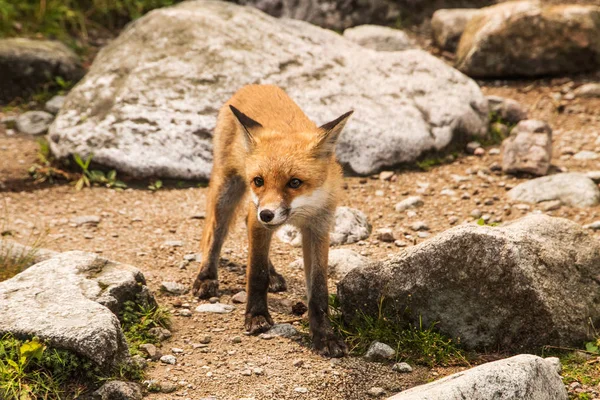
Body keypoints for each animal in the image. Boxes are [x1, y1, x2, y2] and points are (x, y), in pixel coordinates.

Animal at [192, 83, 352, 356]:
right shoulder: (259, 220)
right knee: (216, 233)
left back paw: (274, 275)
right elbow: (256, 273)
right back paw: (207, 277)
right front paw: (256, 316)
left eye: (294, 182)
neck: (302, 212)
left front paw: (325, 335)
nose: (267, 213)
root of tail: (255, 85)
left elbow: (319, 290)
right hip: (227, 190)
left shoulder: (319, 228)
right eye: (259, 181)